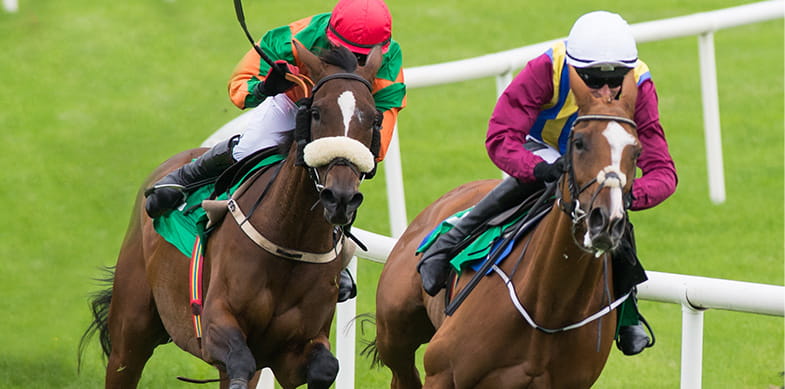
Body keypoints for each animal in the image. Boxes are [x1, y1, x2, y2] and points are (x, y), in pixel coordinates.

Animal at [79, 42, 382, 388]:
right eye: (316, 112)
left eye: (374, 119)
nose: (341, 197)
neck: (289, 240)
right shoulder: (215, 324)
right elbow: (238, 360)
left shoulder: (297, 346)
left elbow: (326, 367)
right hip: (131, 327)